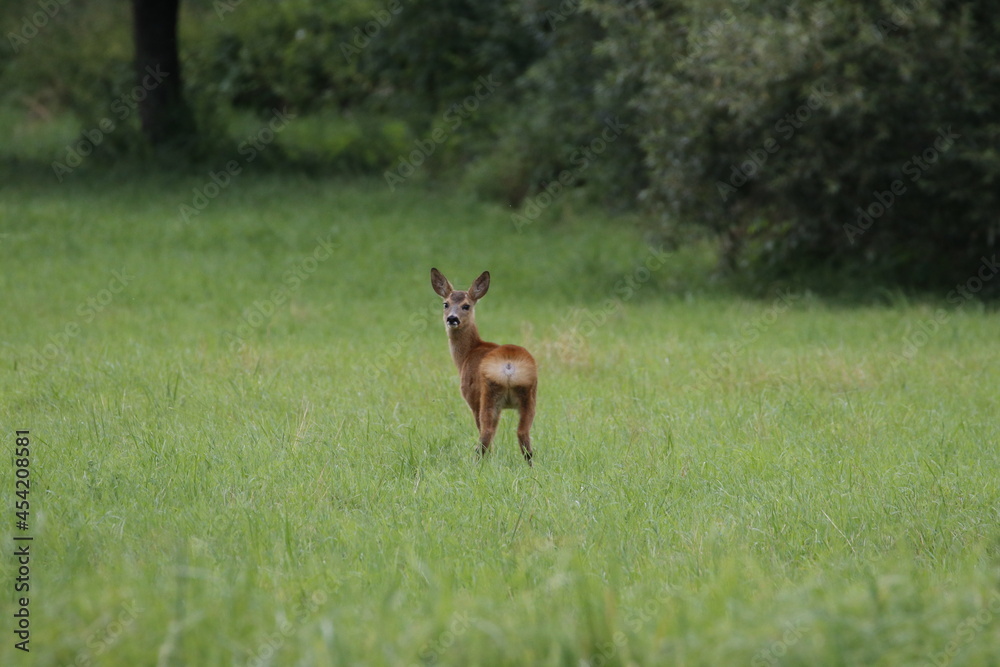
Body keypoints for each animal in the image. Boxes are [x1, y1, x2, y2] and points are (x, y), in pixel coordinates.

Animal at [430, 268, 538, 465]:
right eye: (445, 304)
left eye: (466, 306)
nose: (452, 318)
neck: (468, 354)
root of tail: (509, 365)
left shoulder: (472, 397)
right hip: (529, 394)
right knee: (523, 433)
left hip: (489, 394)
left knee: (487, 433)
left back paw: (477, 463)